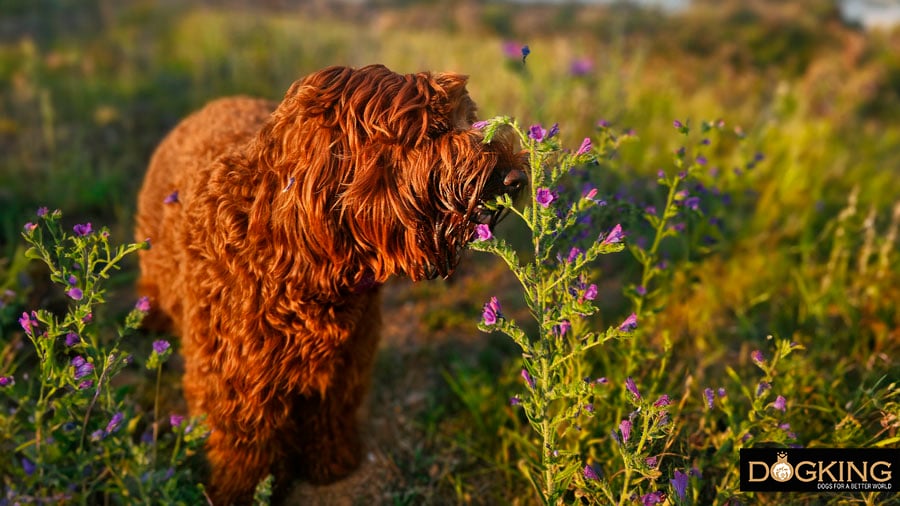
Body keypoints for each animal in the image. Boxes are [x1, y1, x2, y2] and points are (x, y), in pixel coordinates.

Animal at [134, 65, 528, 504]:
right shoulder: (234, 375)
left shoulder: (346, 361)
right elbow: (244, 441)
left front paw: (332, 464)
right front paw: (241, 490)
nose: (515, 178)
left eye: (466, 118)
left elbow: (331, 414)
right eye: (436, 129)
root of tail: (214, 104)